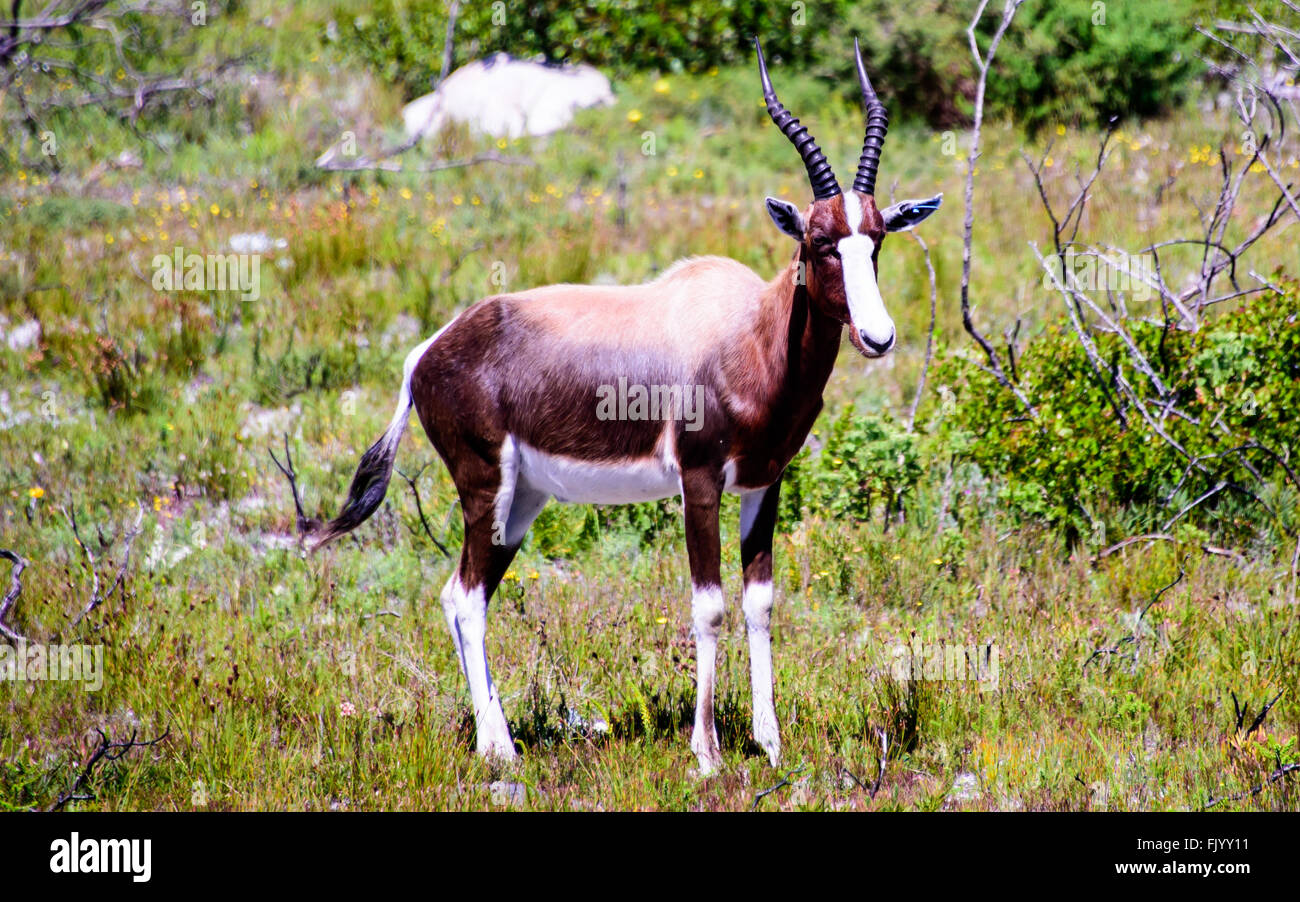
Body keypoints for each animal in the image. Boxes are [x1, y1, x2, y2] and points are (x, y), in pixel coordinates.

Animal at [276, 40, 946, 779]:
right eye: (820, 242)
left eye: (876, 239)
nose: (878, 336)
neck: (747, 331)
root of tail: (426, 353)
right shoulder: (699, 483)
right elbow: (709, 607)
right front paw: (707, 753)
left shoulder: (764, 484)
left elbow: (760, 604)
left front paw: (770, 744)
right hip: (486, 485)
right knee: (467, 598)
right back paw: (500, 749)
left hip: (524, 499)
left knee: (461, 594)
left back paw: (494, 738)